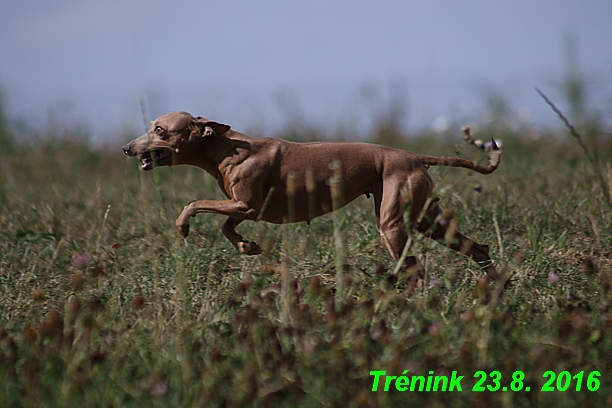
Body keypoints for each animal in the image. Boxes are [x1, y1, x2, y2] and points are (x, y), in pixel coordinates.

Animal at [122, 110, 500, 278]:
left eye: (160, 130)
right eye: (151, 126)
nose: (126, 148)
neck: (225, 147)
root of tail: (413, 157)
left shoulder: (246, 204)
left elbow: (194, 203)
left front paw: (183, 226)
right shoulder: (246, 207)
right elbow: (226, 226)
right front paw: (247, 247)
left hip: (393, 226)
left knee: (416, 270)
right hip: (425, 218)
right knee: (477, 248)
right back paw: (497, 288)